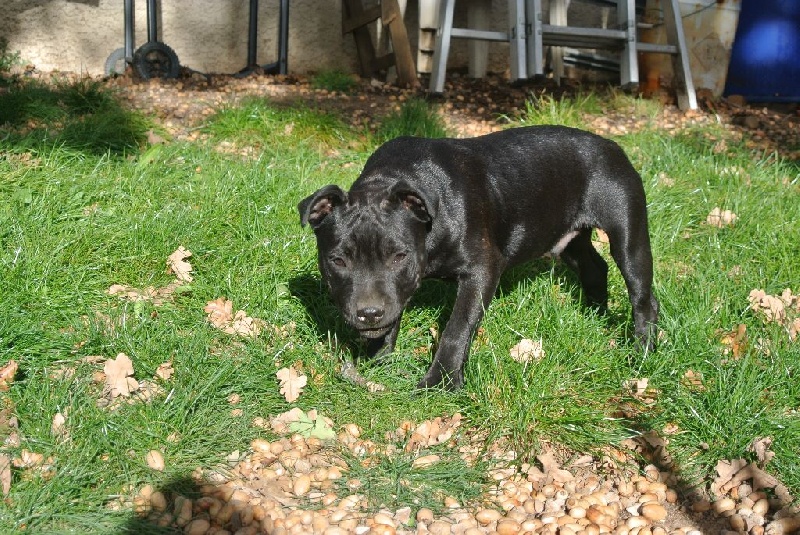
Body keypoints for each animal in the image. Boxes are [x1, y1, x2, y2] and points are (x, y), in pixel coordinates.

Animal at [298, 127, 656, 392]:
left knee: (642, 296)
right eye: (338, 261)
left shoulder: (482, 270)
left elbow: (457, 327)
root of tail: (612, 146)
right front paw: (378, 361)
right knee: (594, 267)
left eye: (400, 257)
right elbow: (392, 320)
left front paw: (440, 382)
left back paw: (642, 352)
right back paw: (594, 312)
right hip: (567, 239)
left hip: (629, 233)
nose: (369, 312)